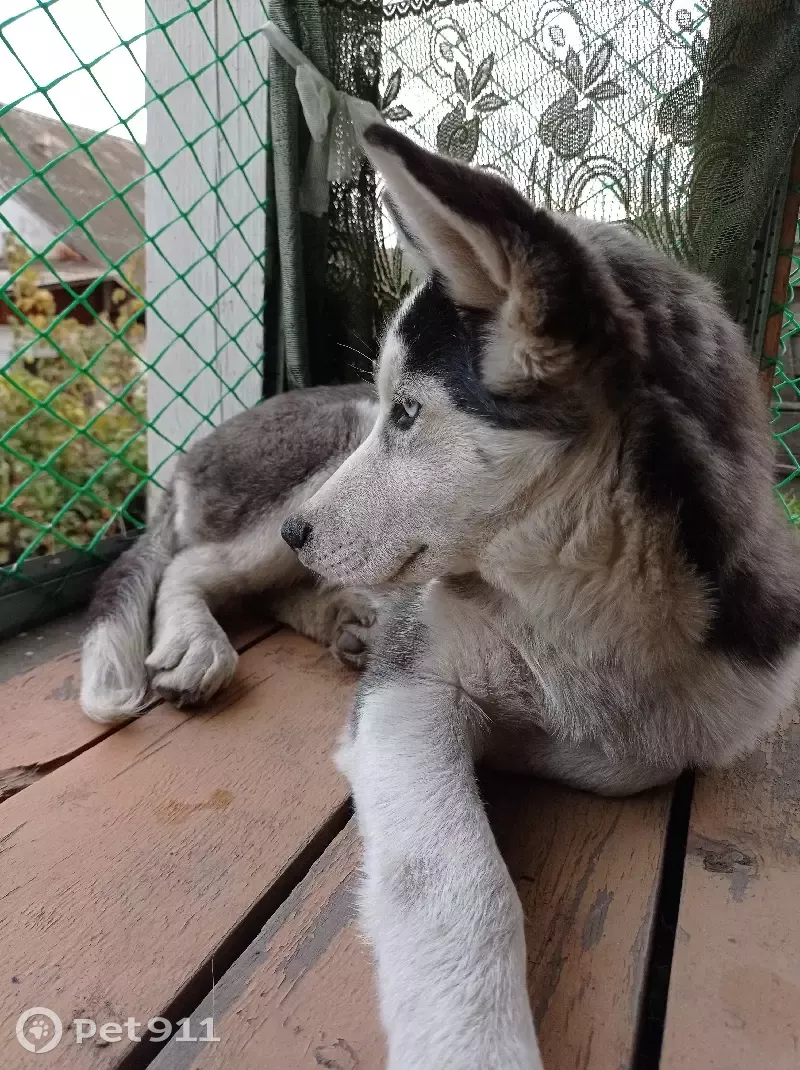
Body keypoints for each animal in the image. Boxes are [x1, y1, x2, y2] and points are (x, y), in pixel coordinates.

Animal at [82, 127, 800, 1070]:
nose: (299, 535)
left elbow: (624, 746)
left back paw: (339, 618)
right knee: (189, 565)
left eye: (411, 415)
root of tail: (198, 448)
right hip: (305, 464)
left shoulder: (712, 704)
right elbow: (459, 882)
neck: (567, 588)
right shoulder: (411, 694)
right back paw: (203, 641)